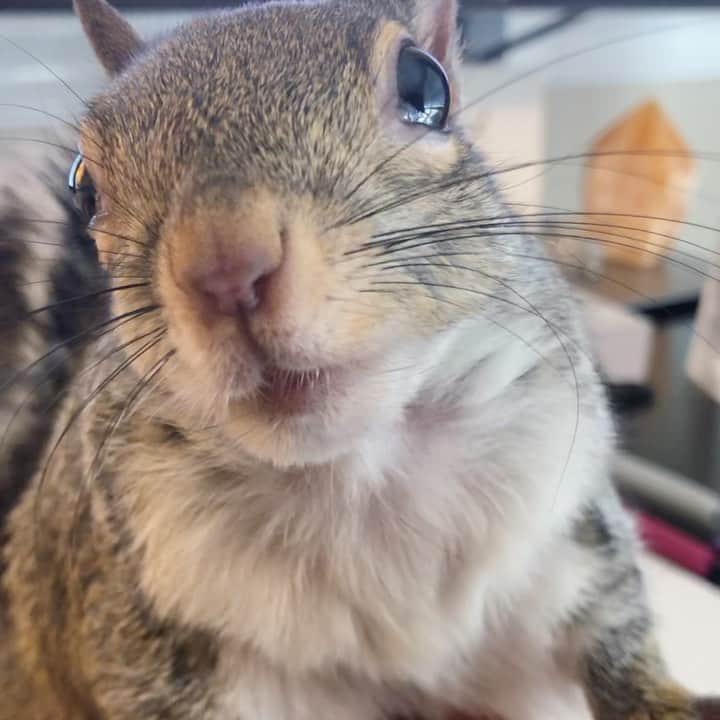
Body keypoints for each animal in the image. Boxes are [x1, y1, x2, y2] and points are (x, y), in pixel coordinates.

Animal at [0, 0, 718, 718]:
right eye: (83, 186)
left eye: (426, 88)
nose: (223, 268)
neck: (356, 475)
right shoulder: (142, 635)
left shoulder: (567, 537)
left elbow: (614, 632)